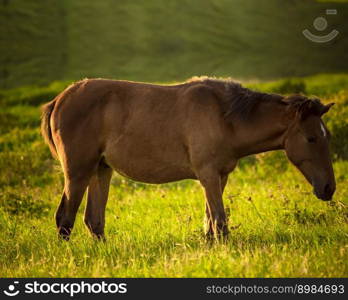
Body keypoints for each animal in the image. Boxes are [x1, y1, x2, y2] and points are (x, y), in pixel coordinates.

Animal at [40, 77, 334, 239]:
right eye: (311, 138)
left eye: (327, 136)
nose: (329, 188)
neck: (224, 117)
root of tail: (60, 99)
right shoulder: (208, 175)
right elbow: (219, 222)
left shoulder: (219, 176)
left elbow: (210, 224)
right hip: (77, 173)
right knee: (65, 219)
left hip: (100, 170)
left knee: (94, 222)